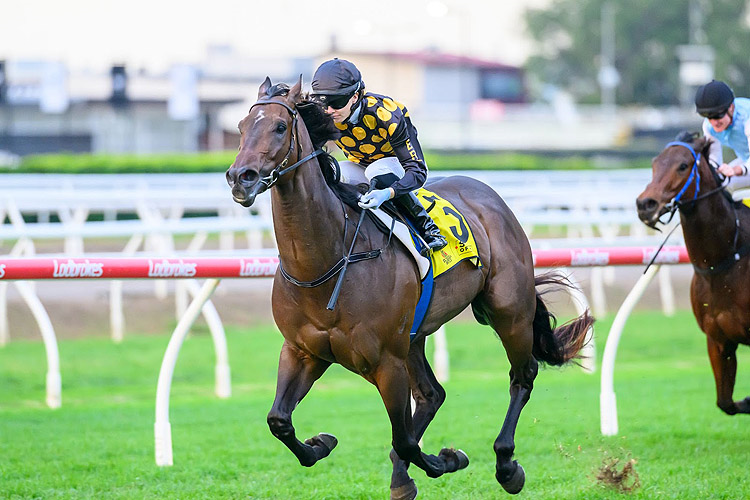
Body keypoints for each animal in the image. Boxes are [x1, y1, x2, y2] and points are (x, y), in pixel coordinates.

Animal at [226, 76, 596, 498]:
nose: (240, 177)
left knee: (522, 375)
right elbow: (279, 420)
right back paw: (404, 475)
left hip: (508, 312)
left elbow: (403, 439)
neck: (325, 261)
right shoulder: (303, 351)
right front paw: (322, 444)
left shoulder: (386, 360)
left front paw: (447, 459)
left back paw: (506, 465)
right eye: (241, 127)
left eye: (279, 127)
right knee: (432, 394)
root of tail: (490, 196)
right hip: (415, 335)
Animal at [636, 133, 750, 414]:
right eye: (654, 164)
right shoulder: (718, 340)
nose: (645, 204)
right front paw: (744, 401)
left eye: (683, 166)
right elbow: (726, 403)